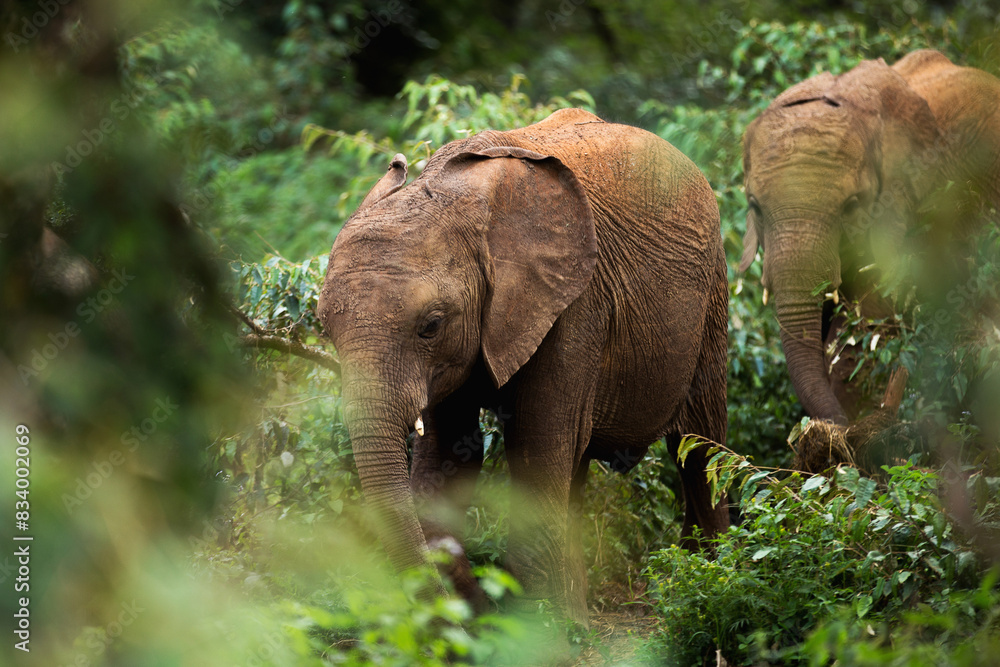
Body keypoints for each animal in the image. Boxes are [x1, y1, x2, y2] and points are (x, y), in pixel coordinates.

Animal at [317, 108, 729, 627]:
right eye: (323, 328)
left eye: (431, 325)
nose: (471, 608)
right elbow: (450, 455)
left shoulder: (575, 305)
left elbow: (535, 447)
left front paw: (539, 628)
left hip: (712, 294)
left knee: (700, 447)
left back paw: (706, 578)